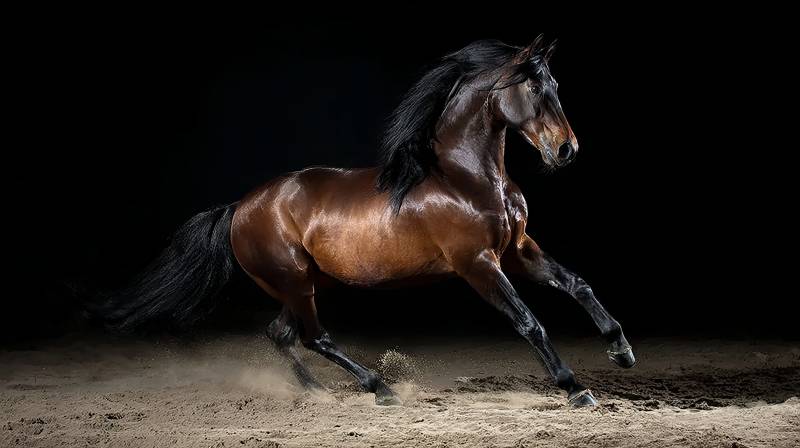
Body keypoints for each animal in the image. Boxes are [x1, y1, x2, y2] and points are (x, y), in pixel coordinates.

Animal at [99, 35, 635, 407]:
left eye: (557, 86)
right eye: (532, 86)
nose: (566, 150)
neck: (465, 177)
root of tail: (239, 207)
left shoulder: (517, 251)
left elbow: (578, 284)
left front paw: (621, 350)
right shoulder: (478, 264)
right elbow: (529, 322)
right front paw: (574, 388)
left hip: (307, 283)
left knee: (281, 334)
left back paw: (317, 392)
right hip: (294, 281)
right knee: (313, 336)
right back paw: (380, 388)